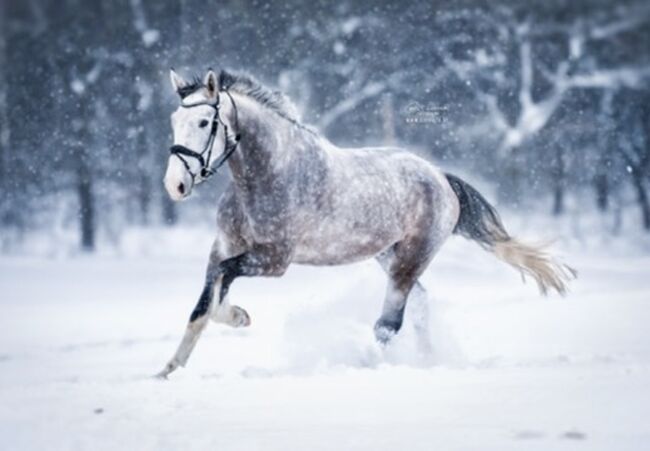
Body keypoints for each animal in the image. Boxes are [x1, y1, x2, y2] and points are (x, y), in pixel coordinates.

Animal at [157, 68, 572, 378]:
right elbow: (205, 299)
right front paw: (170, 367)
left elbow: (220, 283)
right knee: (419, 304)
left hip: (410, 258)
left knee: (388, 324)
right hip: (388, 256)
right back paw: (427, 361)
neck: (270, 173)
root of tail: (440, 177)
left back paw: (372, 365)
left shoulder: (274, 260)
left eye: (205, 121)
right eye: (175, 120)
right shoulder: (224, 247)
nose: (175, 185)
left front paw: (237, 316)